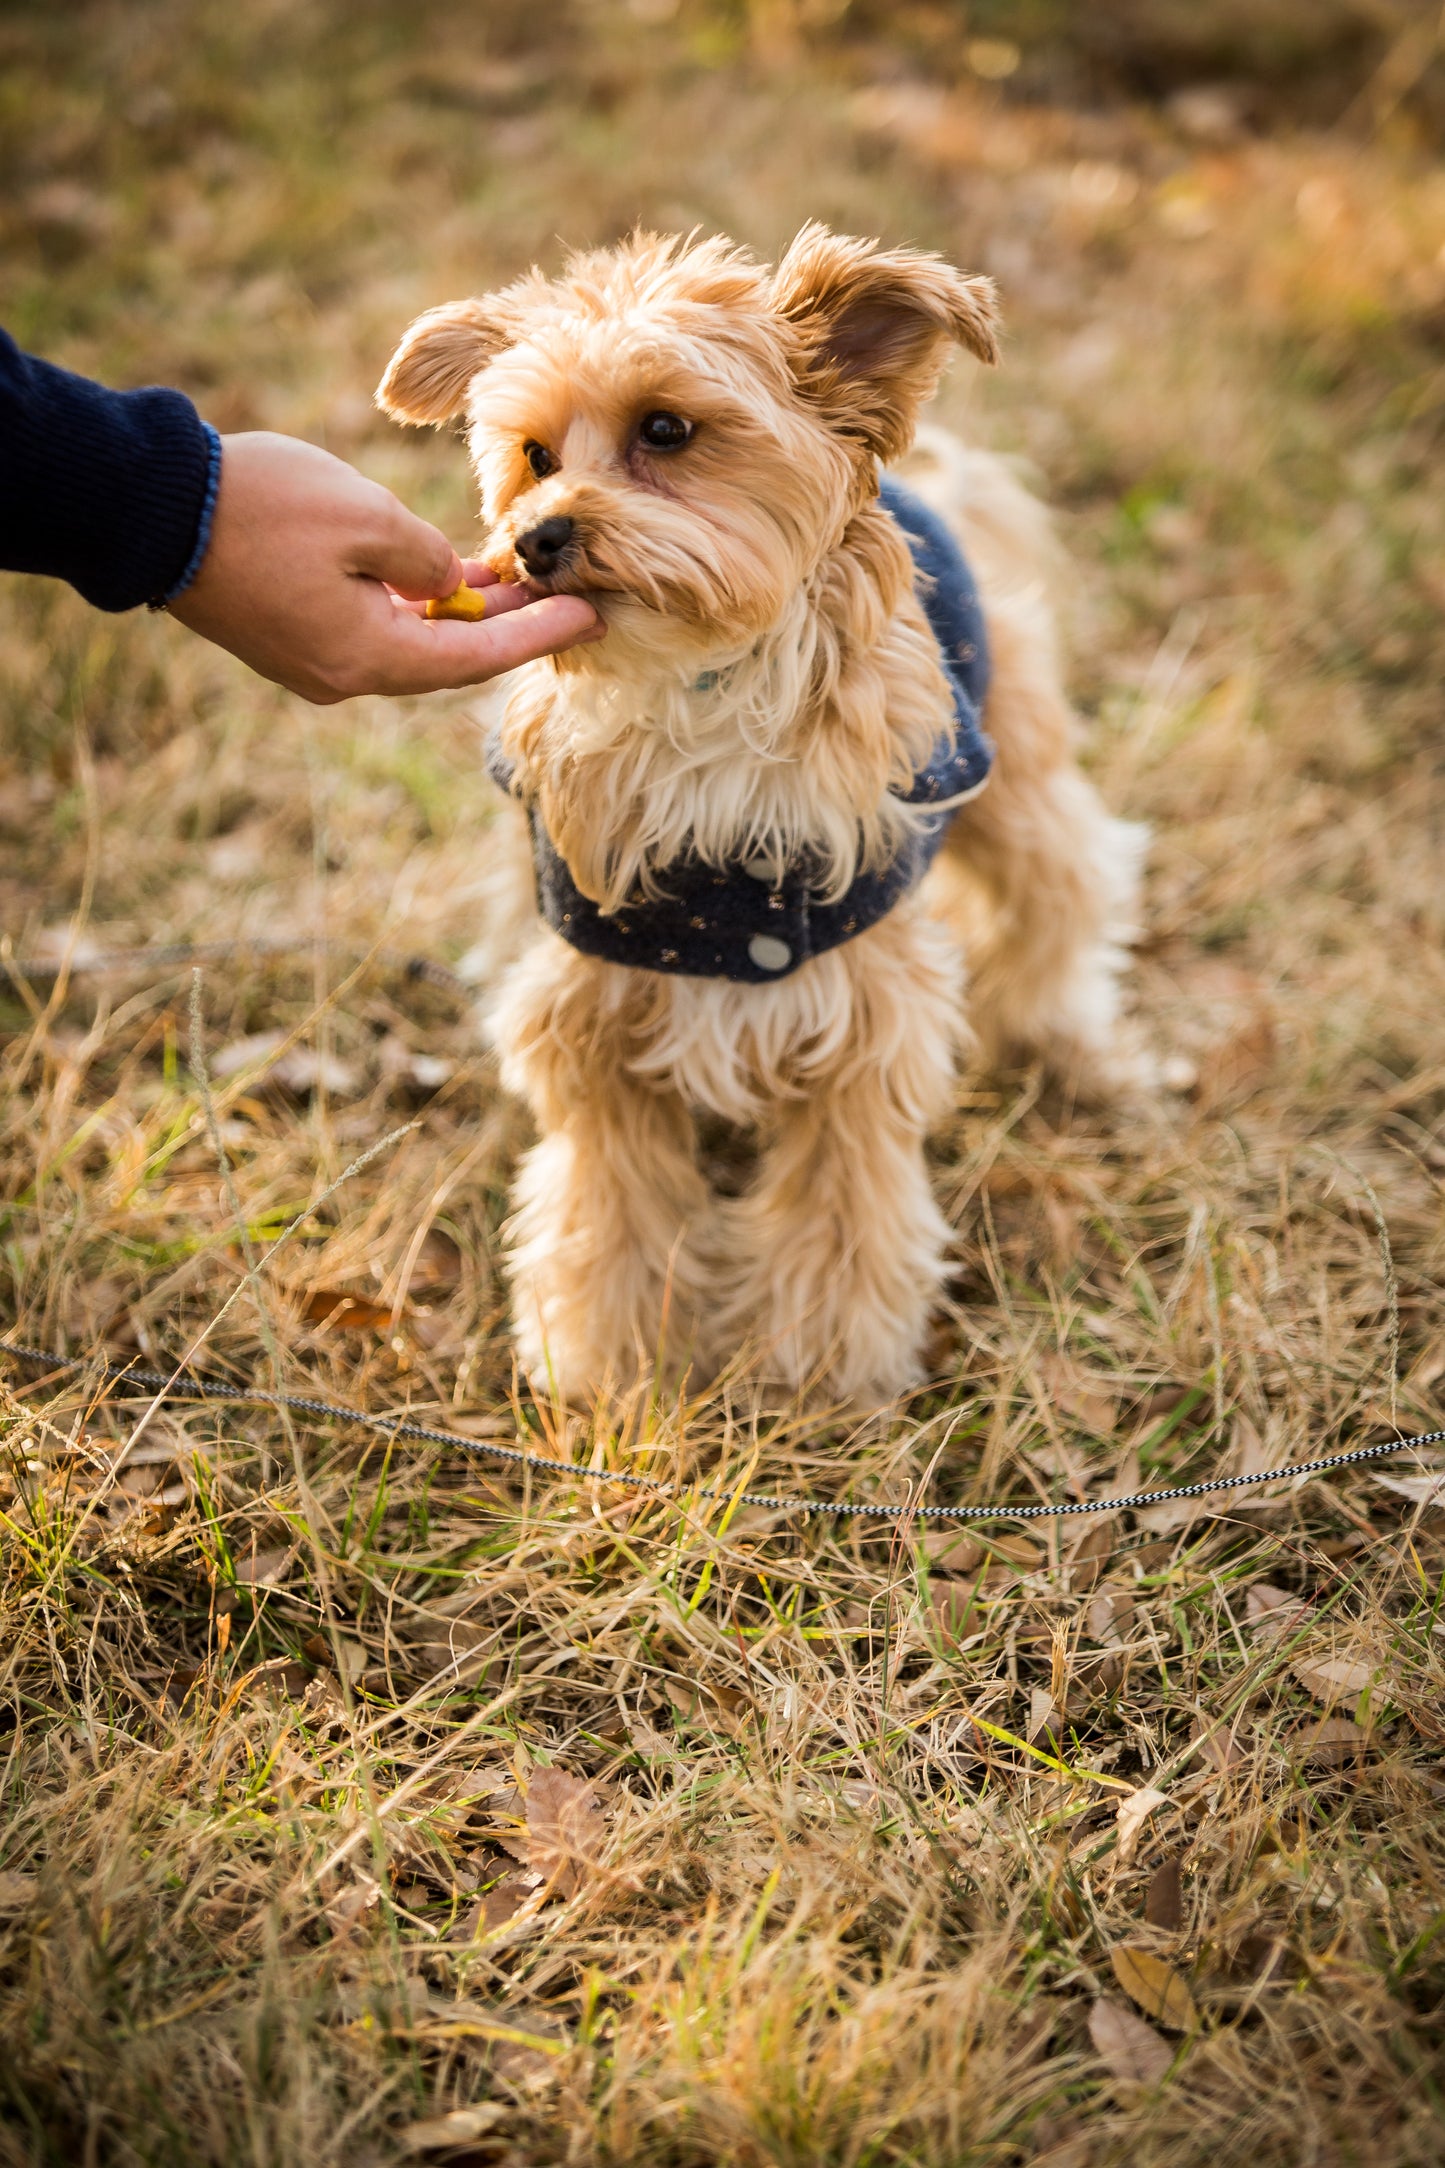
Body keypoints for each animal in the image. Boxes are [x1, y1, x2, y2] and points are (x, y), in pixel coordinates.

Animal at [379, 224, 1143, 1404]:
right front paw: (609, 1356)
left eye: (665, 429)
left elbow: (843, 1209)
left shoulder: (855, 1006)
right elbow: (607, 1204)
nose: (535, 538)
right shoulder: (598, 1002)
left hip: (1007, 770)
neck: (693, 692)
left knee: (1065, 883)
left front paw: (821, 1371)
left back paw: (1072, 1042)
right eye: (535, 454)